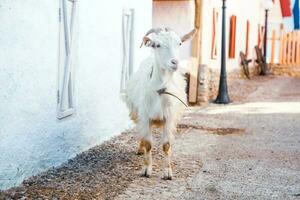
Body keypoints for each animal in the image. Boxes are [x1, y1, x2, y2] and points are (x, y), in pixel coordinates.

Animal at [125, 27, 196, 180]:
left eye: (180, 43)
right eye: (157, 45)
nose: (175, 62)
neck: (160, 90)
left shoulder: (169, 118)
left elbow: (166, 145)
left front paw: (167, 172)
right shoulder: (145, 117)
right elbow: (148, 144)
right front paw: (146, 169)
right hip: (136, 113)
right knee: (141, 133)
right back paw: (140, 149)